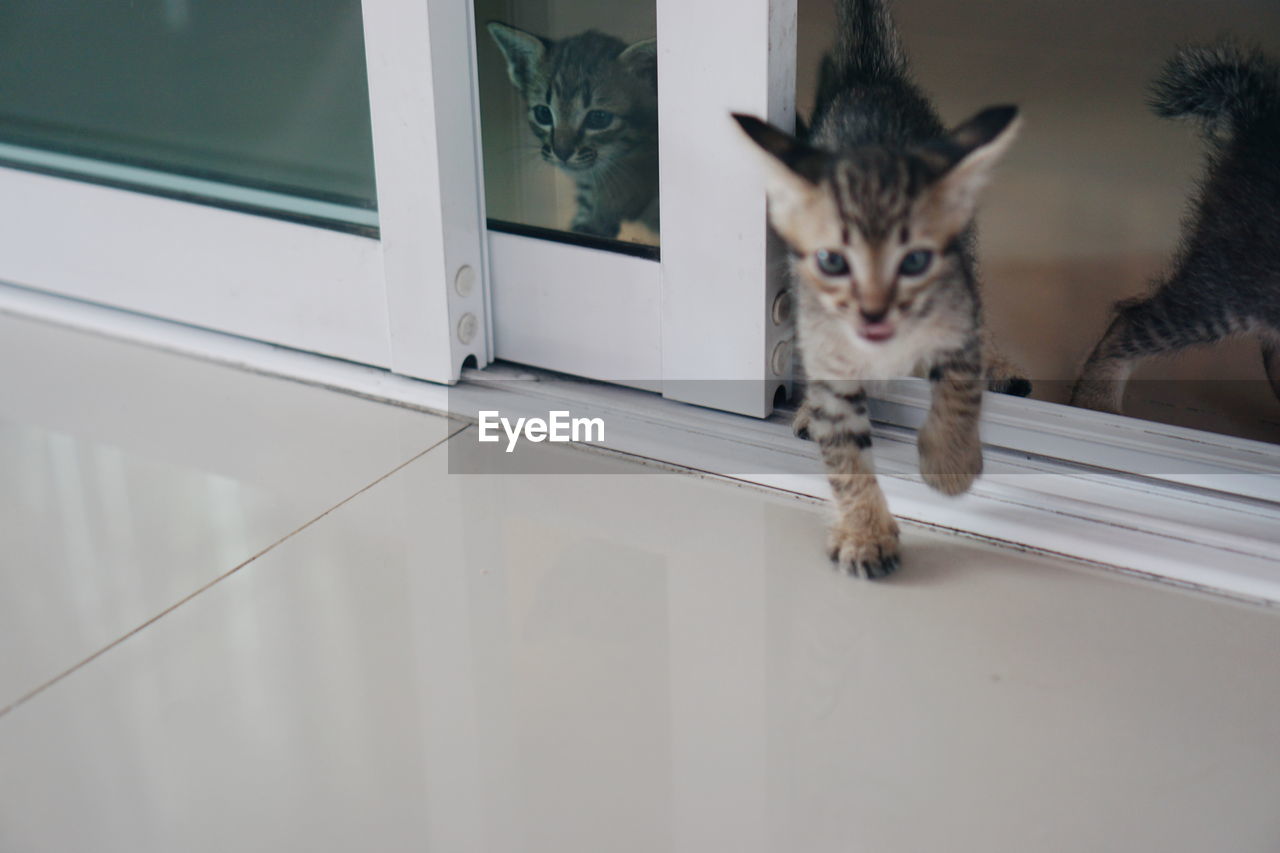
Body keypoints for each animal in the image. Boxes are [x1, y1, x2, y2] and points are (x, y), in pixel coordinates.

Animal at [732, 0, 1018, 578]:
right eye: (833, 260)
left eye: (914, 261)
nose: (873, 312)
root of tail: (870, 77)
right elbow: (845, 452)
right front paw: (865, 532)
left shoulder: (959, 307)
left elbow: (960, 385)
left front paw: (950, 461)